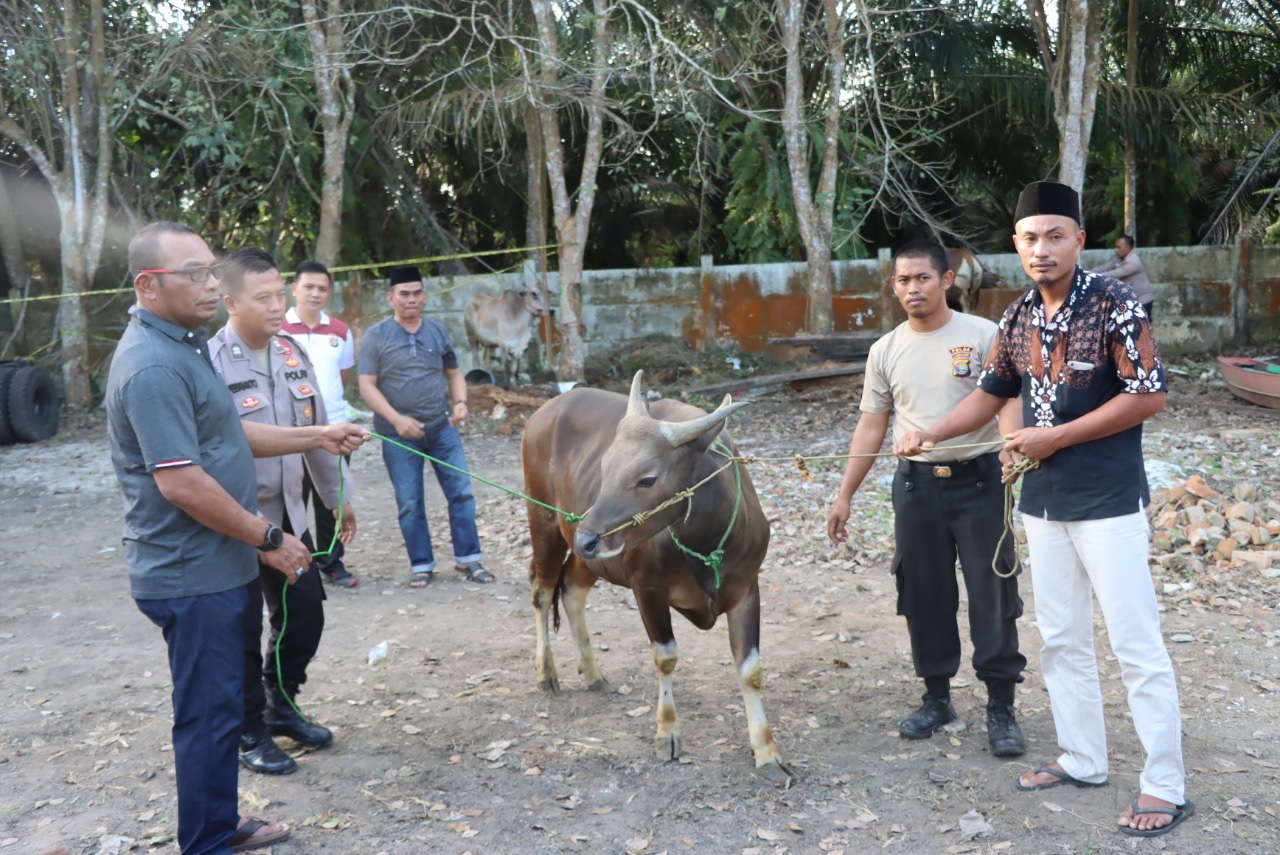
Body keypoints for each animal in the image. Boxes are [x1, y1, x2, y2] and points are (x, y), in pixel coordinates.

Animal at [519, 371, 788, 783]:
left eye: (646, 479)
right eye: (604, 467)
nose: (586, 539)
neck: (706, 543)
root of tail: (541, 414)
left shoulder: (747, 590)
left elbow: (750, 670)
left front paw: (766, 751)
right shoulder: (647, 589)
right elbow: (665, 658)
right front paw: (667, 733)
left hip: (592, 559)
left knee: (572, 590)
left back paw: (593, 673)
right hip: (544, 523)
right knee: (543, 590)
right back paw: (546, 675)